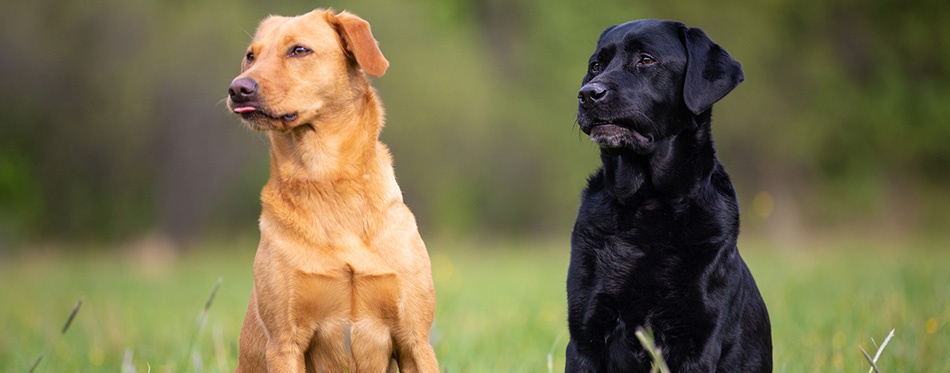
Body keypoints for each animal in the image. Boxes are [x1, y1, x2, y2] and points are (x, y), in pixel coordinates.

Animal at [229, 9, 440, 372]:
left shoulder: (415, 340)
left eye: (299, 50)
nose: (238, 89)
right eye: (251, 55)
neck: (327, 180)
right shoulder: (285, 342)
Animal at [564, 19, 772, 370]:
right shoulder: (584, 338)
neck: (646, 205)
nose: (588, 94)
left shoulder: (697, 340)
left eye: (646, 60)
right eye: (596, 66)